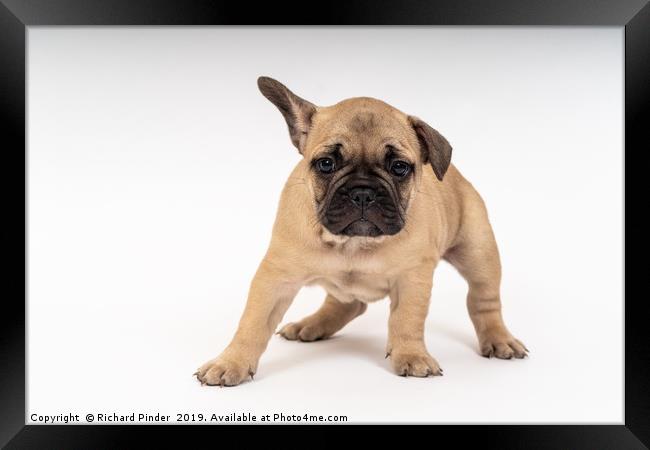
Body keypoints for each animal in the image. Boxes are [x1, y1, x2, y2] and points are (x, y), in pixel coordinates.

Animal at [195, 77, 524, 386]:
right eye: (326, 164)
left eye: (399, 167)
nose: (363, 193)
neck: (352, 242)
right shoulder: (275, 277)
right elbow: (252, 322)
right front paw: (231, 362)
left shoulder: (413, 278)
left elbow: (407, 319)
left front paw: (412, 355)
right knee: (349, 302)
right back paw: (311, 325)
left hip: (478, 252)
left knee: (483, 299)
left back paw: (499, 339)